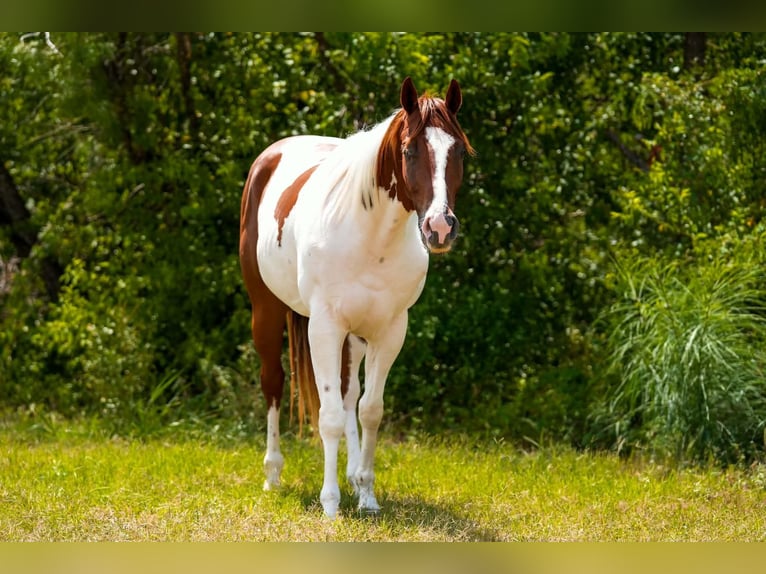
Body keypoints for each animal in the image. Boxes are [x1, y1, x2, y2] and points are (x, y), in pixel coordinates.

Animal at [239, 77, 473, 518]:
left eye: (459, 152)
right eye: (410, 150)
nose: (439, 227)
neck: (371, 236)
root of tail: (272, 155)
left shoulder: (389, 331)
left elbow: (369, 410)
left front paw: (366, 495)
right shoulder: (324, 328)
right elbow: (328, 416)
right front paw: (330, 505)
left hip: (355, 339)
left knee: (349, 395)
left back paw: (348, 477)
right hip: (267, 312)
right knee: (274, 383)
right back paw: (273, 474)